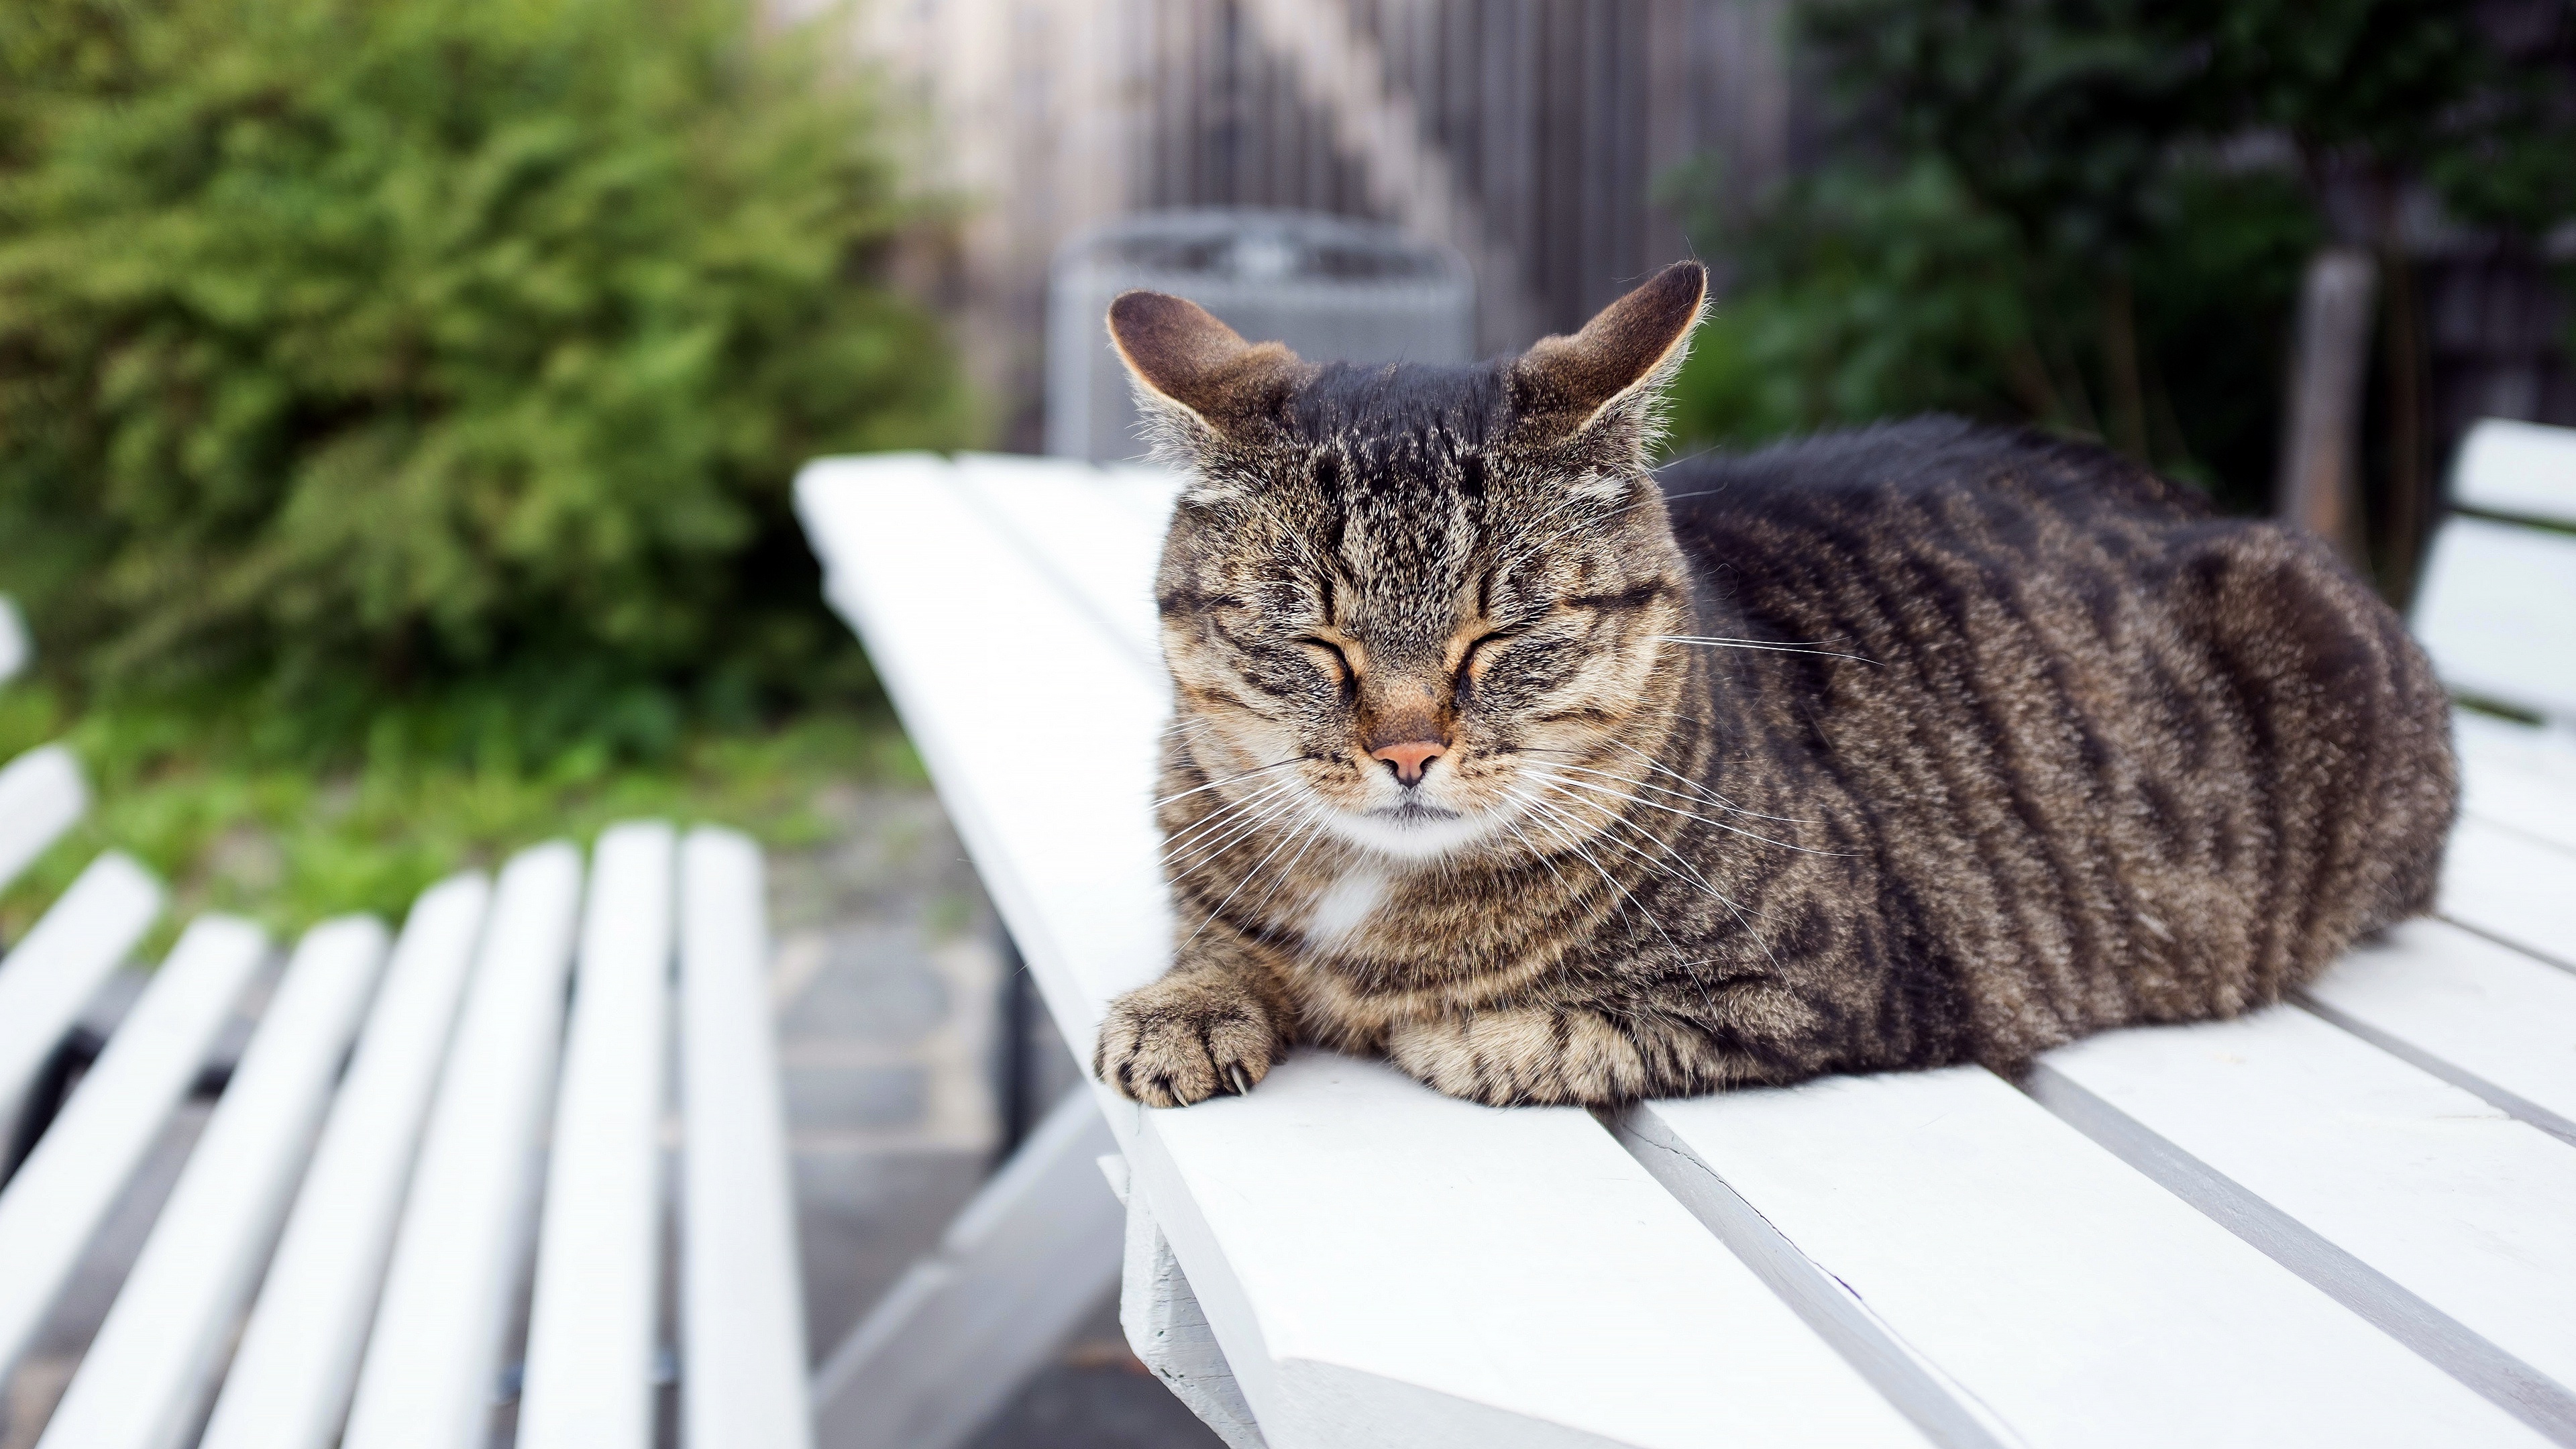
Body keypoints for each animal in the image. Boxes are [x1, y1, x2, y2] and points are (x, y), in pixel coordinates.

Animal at [1087, 259, 2452, 1103]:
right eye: (1316, 641)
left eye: (1500, 633)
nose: (1408, 752)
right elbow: (1215, 948)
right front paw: (1182, 1007)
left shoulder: (1831, 987)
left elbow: (1550, 1032)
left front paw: (1442, 1030)